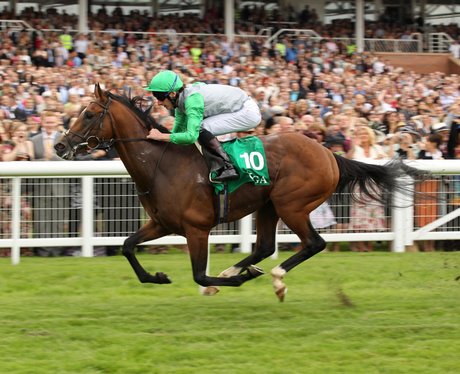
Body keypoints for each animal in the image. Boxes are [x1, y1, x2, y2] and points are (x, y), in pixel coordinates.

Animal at [55, 84, 430, 300]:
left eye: (89, 113)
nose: (60, 145)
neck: (162, 165)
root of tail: (328, 153)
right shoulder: (162, 223)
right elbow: (127, 246)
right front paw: (157, 276)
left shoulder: (196, 228)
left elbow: (197, 273)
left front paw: (223, 282)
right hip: (268, 206)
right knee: (264, 246)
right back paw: (236, 271)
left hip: (291, 204)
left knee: (314, 243)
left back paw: (273, 278)